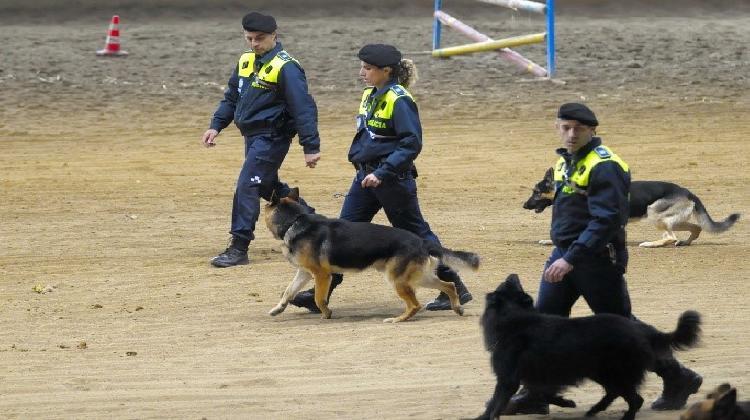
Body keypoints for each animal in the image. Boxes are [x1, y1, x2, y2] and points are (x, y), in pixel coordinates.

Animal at [264, 189, 482, 324]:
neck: (294, 221)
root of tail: (422, 241)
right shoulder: (305, 273)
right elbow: (288, 292)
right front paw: (278, 309)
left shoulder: (321, 275)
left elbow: (319, 298)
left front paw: (326, 314)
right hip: (418, 278)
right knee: (449, 286)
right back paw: (457, 308)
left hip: (398, 280)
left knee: (415, 304)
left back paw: (398, 319)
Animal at [476, 272, 704, 420]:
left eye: (507, 284)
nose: (513, 274)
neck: (514, 319)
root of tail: (641, 329)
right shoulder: (541, 374)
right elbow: (540, 392)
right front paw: (565, 403)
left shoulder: (508, 378)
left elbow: (497, 401)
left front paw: (486, 416)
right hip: (601, 372)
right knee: (617, 394)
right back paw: (593, 410)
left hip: (614, 372)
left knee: (635, 399)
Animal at [524, 167, 744, 246]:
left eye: (536, 191)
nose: (524, 205)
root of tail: (687, 192)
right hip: (669, 219)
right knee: (695, 228)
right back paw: (685, 242)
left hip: (654, 213)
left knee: (670, 237)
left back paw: (651, 244)